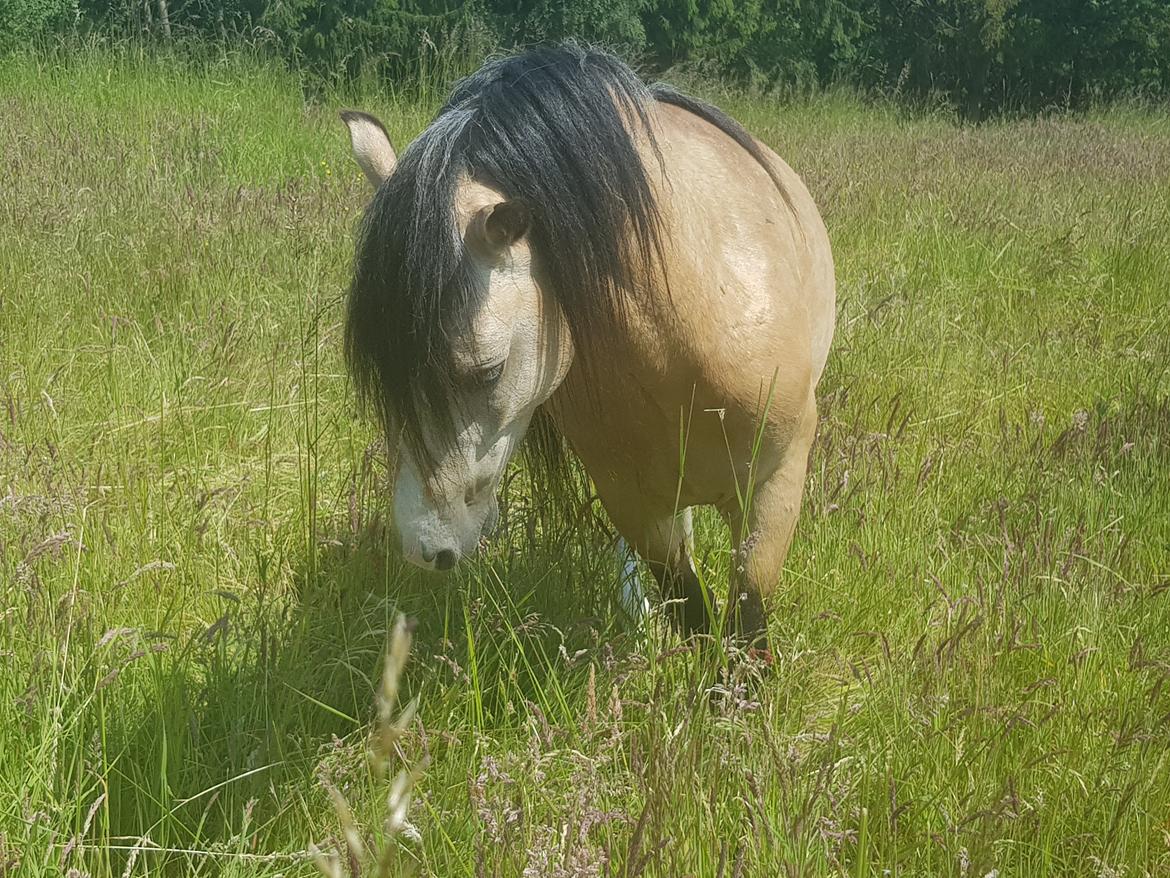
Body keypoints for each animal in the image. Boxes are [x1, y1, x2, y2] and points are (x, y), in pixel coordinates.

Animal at [340, 44, 835, 650]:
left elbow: (750, 623)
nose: (423, 547)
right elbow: (691, 609)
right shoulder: (637, 509)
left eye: (488, 371)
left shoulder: (774, 492)